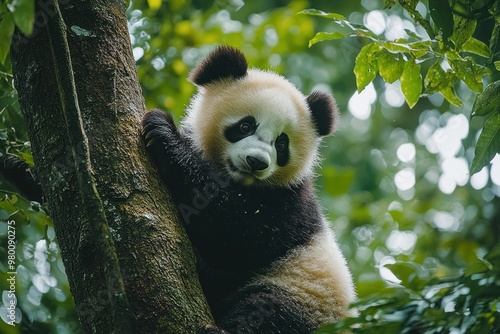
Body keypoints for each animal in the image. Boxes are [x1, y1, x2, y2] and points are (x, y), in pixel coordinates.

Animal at [143, 45, 358, 334]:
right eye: (245, 126)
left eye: (281, 144)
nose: (256, 161)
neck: (236, 181)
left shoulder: (290, 203)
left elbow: (239, 230)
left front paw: (163, 134)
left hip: (306, 293)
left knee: (269, 311)